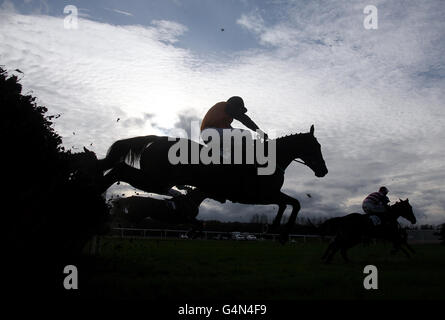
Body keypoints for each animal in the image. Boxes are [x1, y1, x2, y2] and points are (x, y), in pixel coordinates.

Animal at [96, 124, 326, 242]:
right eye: (316, 146)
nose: (323, 171)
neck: (270, 160)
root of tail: (157, 139)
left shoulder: (268, 195)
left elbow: (288, 203)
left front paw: (274, 229)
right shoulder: (260, 196)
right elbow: (293, 203)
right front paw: (281, 232)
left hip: (154, 178)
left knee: (117, 169)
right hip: (156, 180)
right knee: (119, 170)